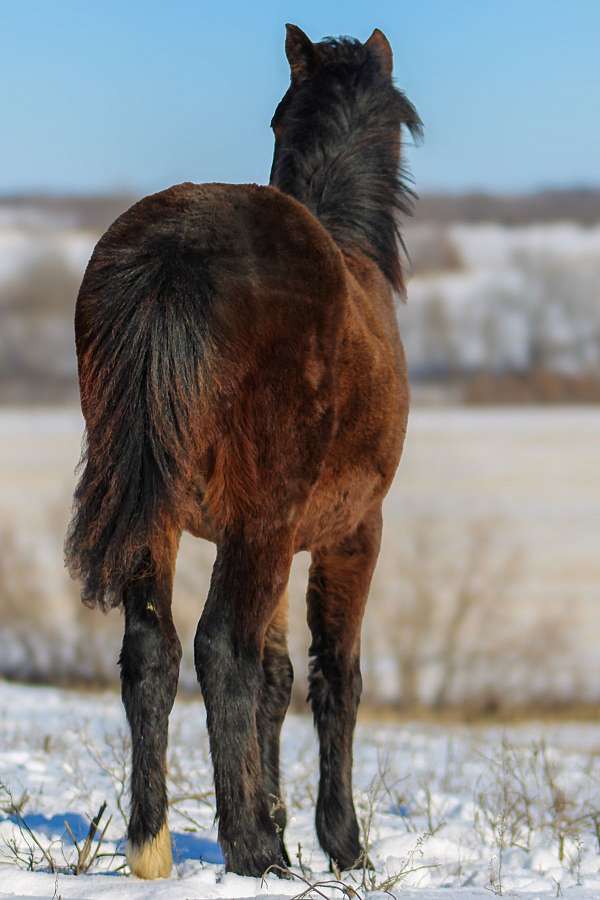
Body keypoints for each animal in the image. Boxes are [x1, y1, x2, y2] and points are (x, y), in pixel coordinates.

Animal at [65, 24, 420, 884]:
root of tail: (175, 251)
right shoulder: (349, 532)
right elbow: (333, 677)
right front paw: (337, 843)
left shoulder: (281, 539)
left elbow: (276, 678)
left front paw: (284, 824)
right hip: (261, 521)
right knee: (219, 647)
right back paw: (252, 853)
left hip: (158, 517)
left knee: (152, 652)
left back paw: (152, 847)